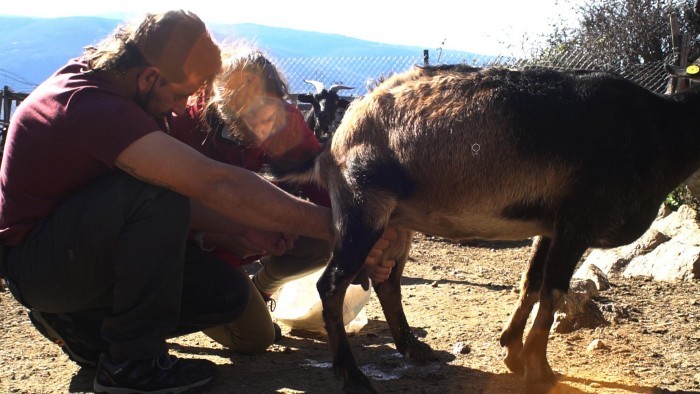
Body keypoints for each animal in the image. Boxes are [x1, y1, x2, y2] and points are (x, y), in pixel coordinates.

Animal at [270, 63, 700, 392]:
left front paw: (512, 351)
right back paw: (351, 373)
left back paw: (414, 348)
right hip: (363, 209)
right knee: (332, 284)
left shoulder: (550, 226)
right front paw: (540, 369)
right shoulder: (576, 223)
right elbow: (553, 291)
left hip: (396, 221)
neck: (658, 130)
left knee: (387, 282)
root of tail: (336, 141)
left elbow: (531, 284)